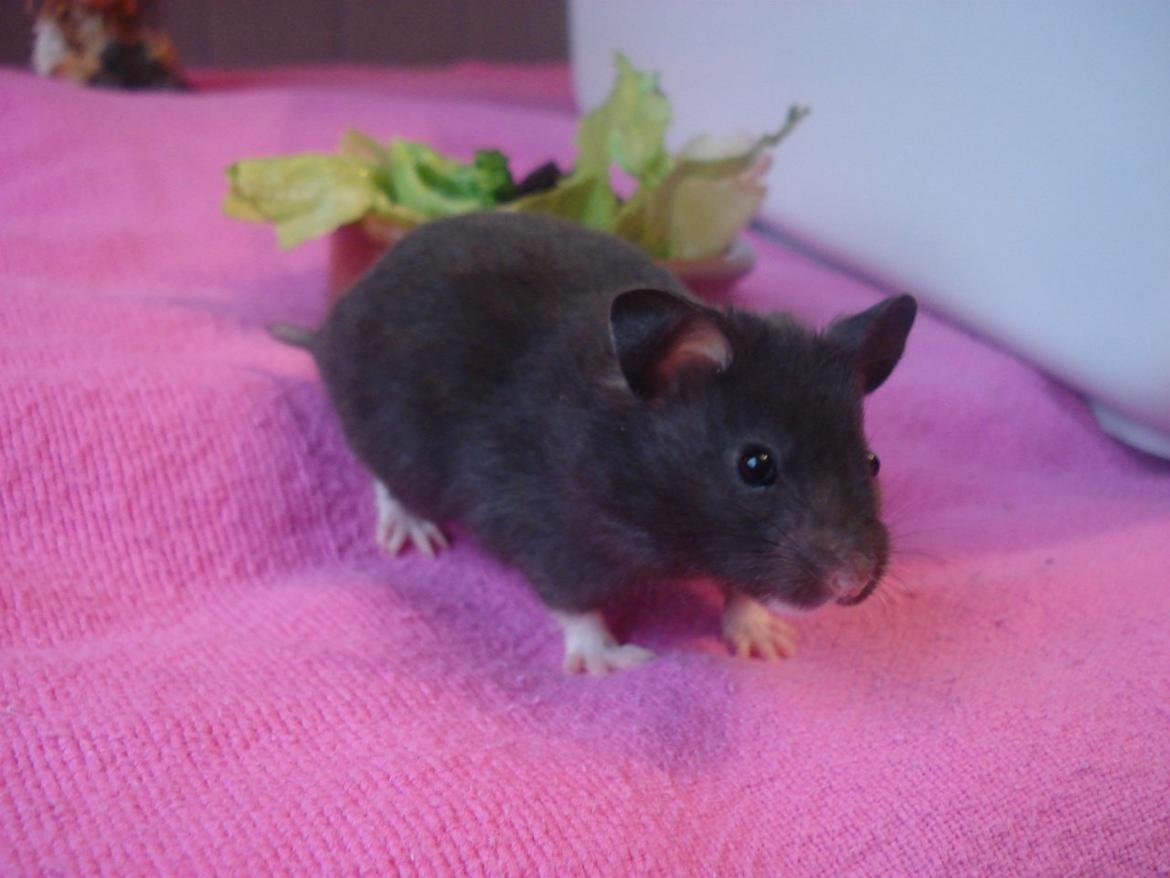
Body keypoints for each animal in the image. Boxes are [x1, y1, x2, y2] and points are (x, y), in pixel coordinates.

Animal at [272, 212, 917, 675]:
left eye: (873, 461)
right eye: (756, 465)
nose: (851, 584)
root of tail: (329, 327)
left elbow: (741, 589)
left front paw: (769, 642)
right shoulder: (553, 532)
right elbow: (573, 601)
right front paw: (615, 662)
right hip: (387, 432)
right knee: (386, 478)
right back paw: (411, 531)